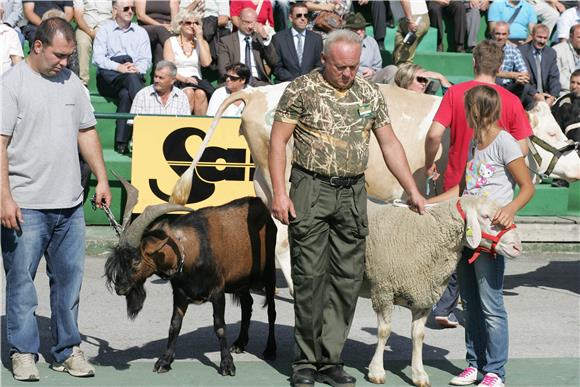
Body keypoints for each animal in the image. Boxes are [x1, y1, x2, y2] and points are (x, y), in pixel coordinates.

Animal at [106, 197, 278, 376]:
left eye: (136, 261)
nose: (119, 288)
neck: (190, 252)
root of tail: (259, 203)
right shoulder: (180, 294)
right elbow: (174, 325)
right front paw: (164, 361)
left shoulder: (218, 292)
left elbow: (220, 327)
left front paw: (227, 364)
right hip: (239, 281)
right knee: (247, 304)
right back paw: (239, 343)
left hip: (268, 270)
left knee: (271, 311)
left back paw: (270, 350)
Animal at [170, 83, 580, 294]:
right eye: (550, 132)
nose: (576, 158)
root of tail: (258, 91)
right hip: (285, 180)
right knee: (285, 240)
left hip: (266, 183)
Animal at [362, 197, 520, 387]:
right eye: (485, 216)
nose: (517, 247)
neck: (427, 233)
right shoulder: (382, 289)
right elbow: (384, 332)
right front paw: (376, 371)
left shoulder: (423, 296)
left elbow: (418, 335)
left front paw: (419, 374)